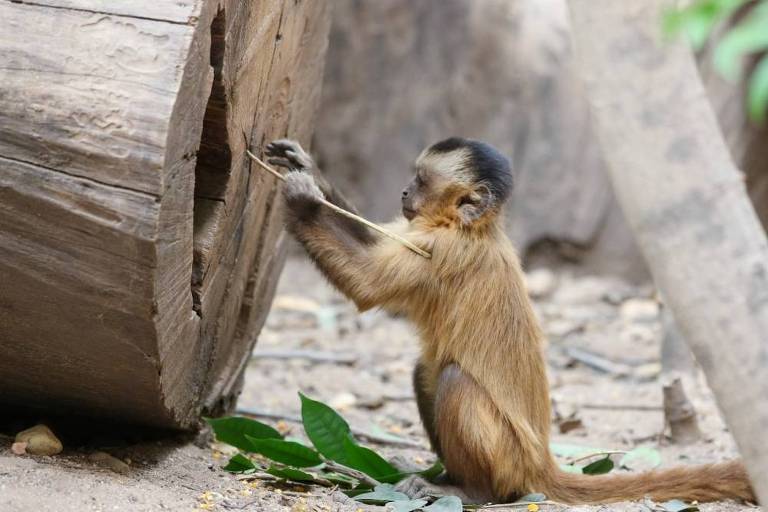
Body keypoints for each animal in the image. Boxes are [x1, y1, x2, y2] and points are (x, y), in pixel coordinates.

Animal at [266, 138, 756, 506]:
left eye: (420, 181)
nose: (404, 193)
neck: (472, 228)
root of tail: (541, 463)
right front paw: (309, 168)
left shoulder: (443, 250)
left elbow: (367, 286)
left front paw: (301, 200)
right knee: (424, 372)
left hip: (507, 457)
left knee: (453, 380)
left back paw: (473, 490)